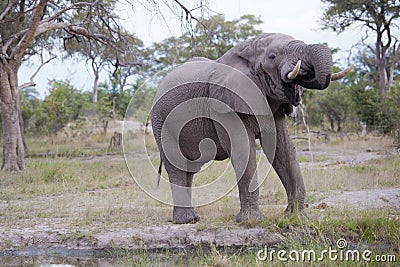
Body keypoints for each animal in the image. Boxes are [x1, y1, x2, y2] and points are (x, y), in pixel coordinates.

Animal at [151, 34, 354, 226]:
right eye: (272, 56)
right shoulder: (223, 103)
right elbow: (243, 148)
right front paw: (252, 221)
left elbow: (283, 149)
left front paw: (296, 218)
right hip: (161, 122)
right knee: (177, 165)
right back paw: (187, 220)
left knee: (189, 170)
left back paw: (193, 218)